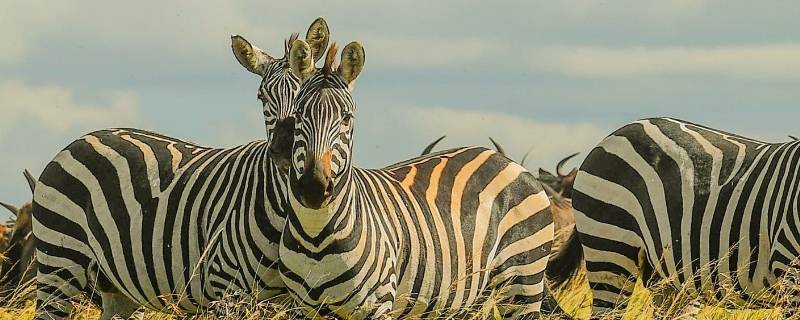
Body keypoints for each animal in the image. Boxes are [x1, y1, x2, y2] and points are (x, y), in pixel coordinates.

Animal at [28, 18, 328, 320]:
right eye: (261, 97)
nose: (284, 147)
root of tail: (82, 138)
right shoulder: (229, 291)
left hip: (114, 285)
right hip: (60, 262)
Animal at [276, 41, 556, 318]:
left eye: (346, 118)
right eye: (298, 115)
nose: (314, 187)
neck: (316, 237)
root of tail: (507, 161)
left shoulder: (377, 305)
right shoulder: (301, 308)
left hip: (523, 279)